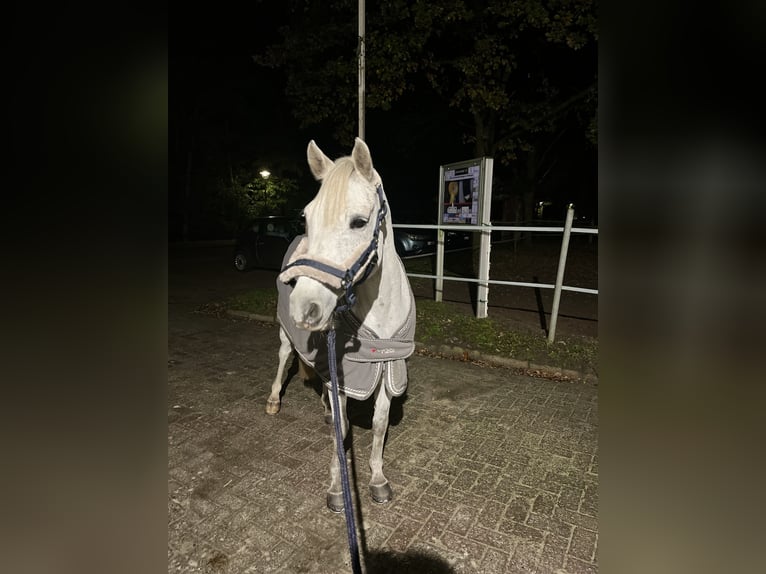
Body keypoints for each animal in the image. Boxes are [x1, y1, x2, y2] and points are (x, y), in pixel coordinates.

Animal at [266, 138, 416, 513]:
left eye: (359, 222)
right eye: (306, 218)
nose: (304, 306)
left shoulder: (387, 367)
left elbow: (378, 425)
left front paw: (378, 479)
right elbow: (341, 428)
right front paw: (337, 488)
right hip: (286, 336)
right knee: (283, 358)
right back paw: (274, 400)